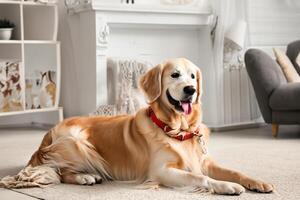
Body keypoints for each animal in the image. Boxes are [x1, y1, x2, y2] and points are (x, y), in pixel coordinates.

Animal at [0, 58, 274, 195]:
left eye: (193, 76)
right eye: (174, 75)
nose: (190, 90)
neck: (178, 130)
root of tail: (47, 135)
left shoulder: (205, 160)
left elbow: (234, 170)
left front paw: (256, 182)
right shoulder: (162, 171)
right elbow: (200, 177)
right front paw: (227, 186)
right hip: (78, 142)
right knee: (60, 172)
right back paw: (86, 176)